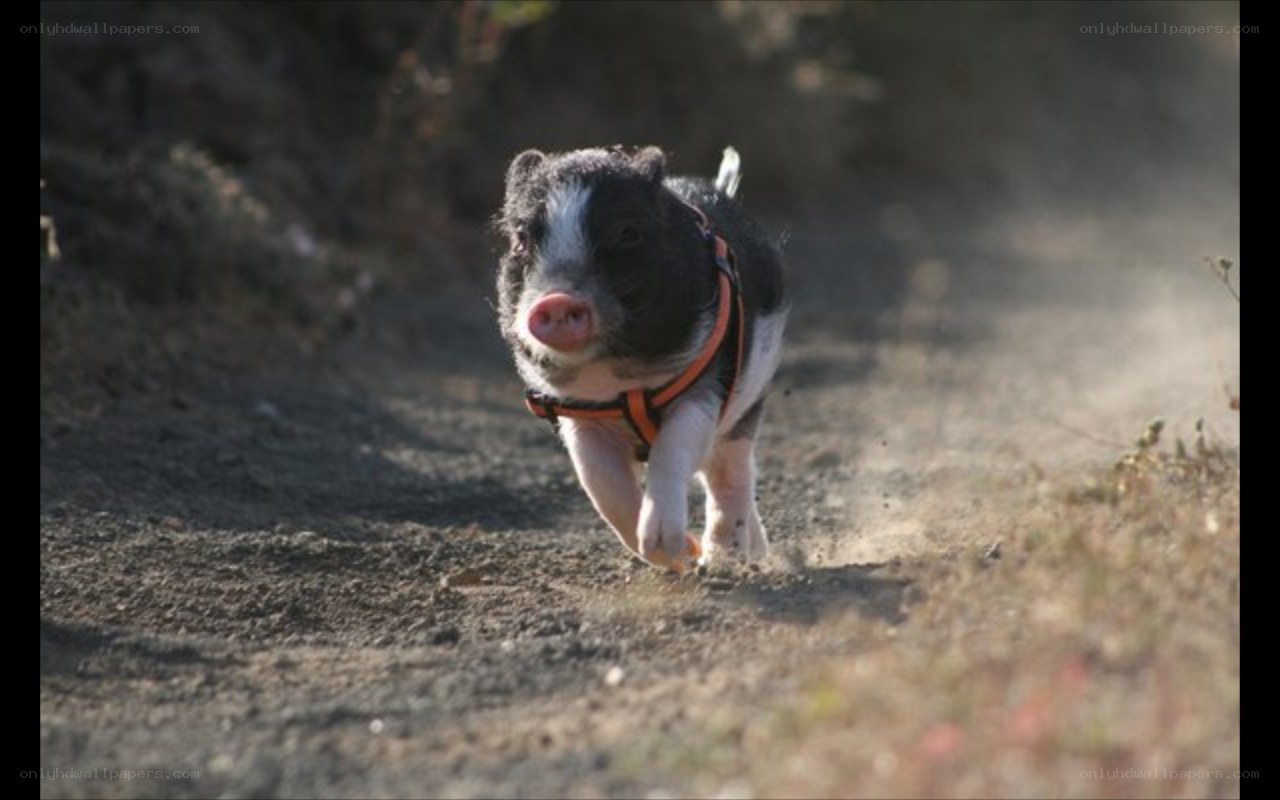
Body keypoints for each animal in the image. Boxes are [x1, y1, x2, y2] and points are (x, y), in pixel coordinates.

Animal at [496, 145, 787, 572]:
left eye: (628, 233)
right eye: (520, 240)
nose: (557, 299)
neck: (618, 381)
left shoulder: (707, 381)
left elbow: (673, 448)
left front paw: (673, 547)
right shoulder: (578, 413)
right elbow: (600, 483)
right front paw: (676, 558)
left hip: (746, 405)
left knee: (731, 476)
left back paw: (724, 560)